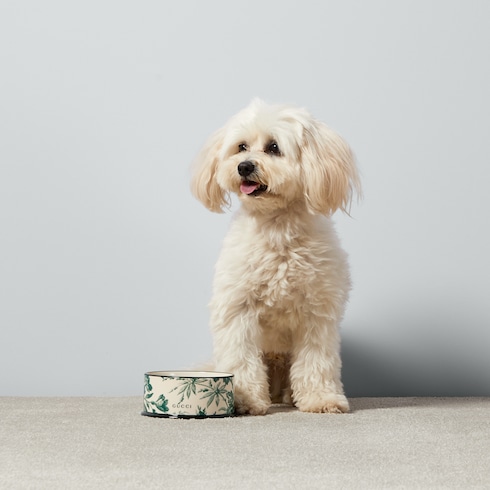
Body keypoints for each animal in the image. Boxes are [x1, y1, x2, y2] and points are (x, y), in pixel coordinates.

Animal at [191, 99, 360, 414]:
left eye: (273, 147)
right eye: (241, 147)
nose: (244, 166)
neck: (276, 228)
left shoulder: (317, 314)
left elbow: (316, 361)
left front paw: (321, 398)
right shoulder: (238, 309)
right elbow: (241, 359)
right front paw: (244, 399)